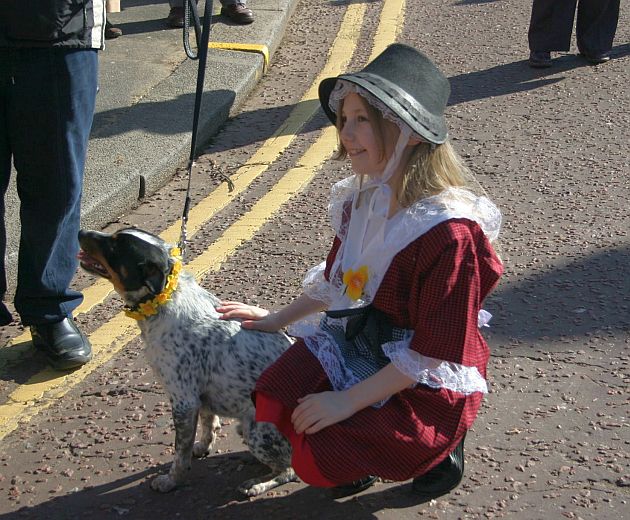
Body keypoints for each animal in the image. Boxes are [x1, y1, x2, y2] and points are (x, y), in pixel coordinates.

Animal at [78, 229, 298, 496]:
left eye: (115, 246)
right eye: (114, 235)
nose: (81, 231)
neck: (165, 299)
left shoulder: (184, 400)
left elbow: (179, 454)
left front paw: (171, 481)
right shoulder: (200, 399)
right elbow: (207, 424)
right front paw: (203, 447)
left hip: (256, 430)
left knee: (289, 470)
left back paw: (257, 484)